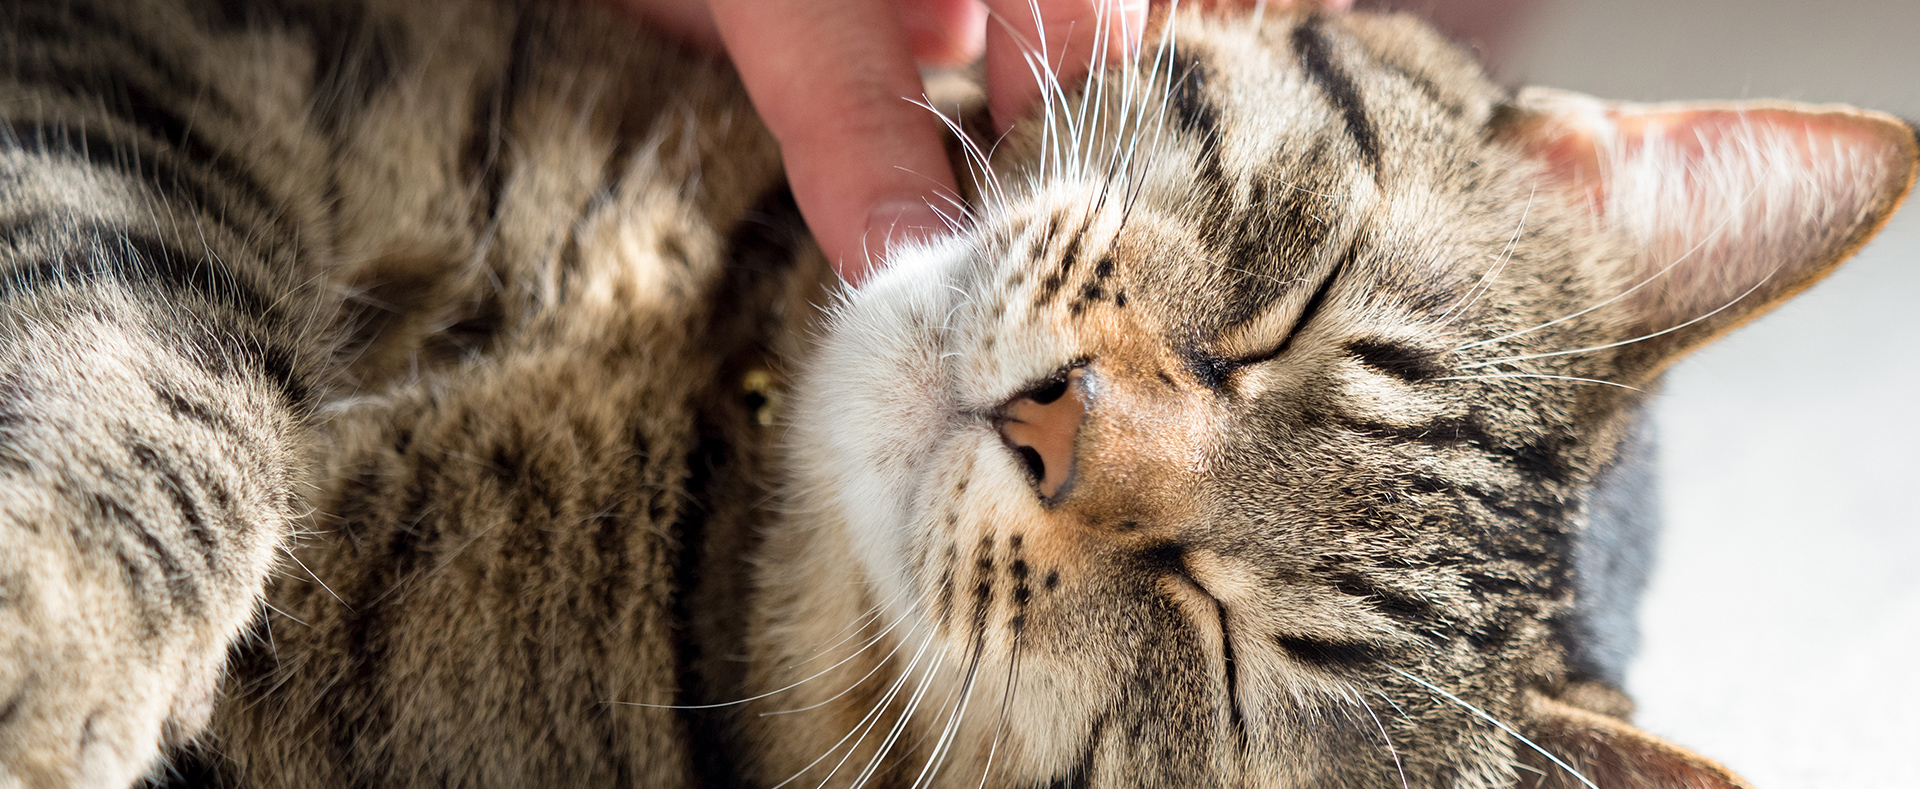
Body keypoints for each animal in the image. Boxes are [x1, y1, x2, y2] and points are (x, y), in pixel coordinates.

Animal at [0, 0, 1912, 787]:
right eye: (1294, 312)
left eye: (1227, 644)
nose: (1057, 425)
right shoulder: (151, 73)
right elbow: (155, 340)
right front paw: (62, 631)